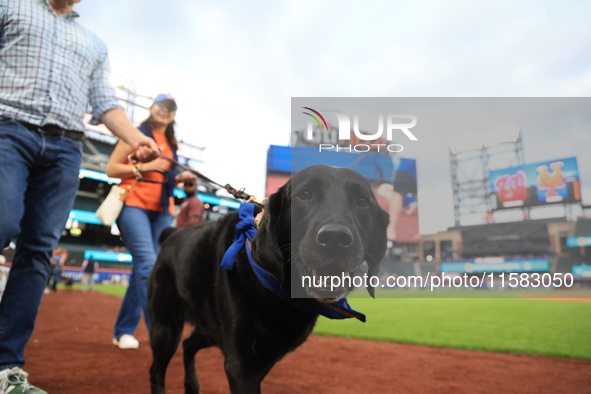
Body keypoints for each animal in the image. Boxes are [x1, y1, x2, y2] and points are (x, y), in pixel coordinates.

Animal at [147, 165, 388, 392]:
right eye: (305, 194)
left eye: (363, 202)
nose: (335, 238)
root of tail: (171, 233)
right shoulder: (242, 366)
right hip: (166, 328)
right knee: (156, 371)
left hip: (209, 327)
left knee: (188, 345)